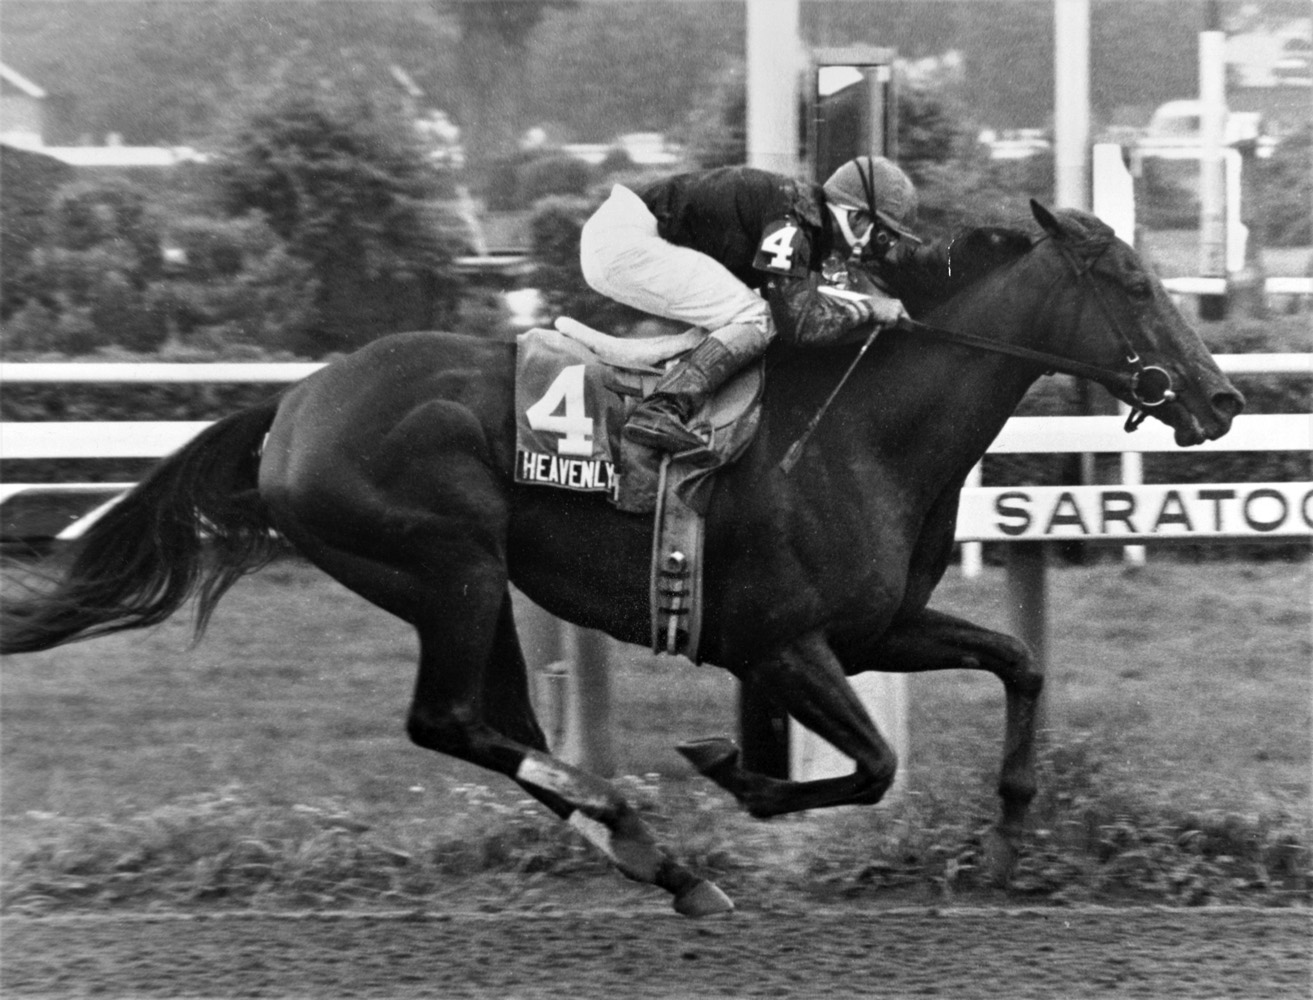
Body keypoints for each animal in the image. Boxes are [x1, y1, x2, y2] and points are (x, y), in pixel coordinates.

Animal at [2, 202, 1239, 913]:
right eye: (1133, 283)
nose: (1220, 400)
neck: (856, 429)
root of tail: (292, 405)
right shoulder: (782, 643)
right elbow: (869, 764)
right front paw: (730, 772)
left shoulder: (872, 628)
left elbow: (1017, 664)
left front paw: (1010, 832)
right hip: (445, 564)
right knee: (448, 721)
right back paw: (644, 834)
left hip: (472, 585)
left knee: (495, 724)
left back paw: (647, 853)